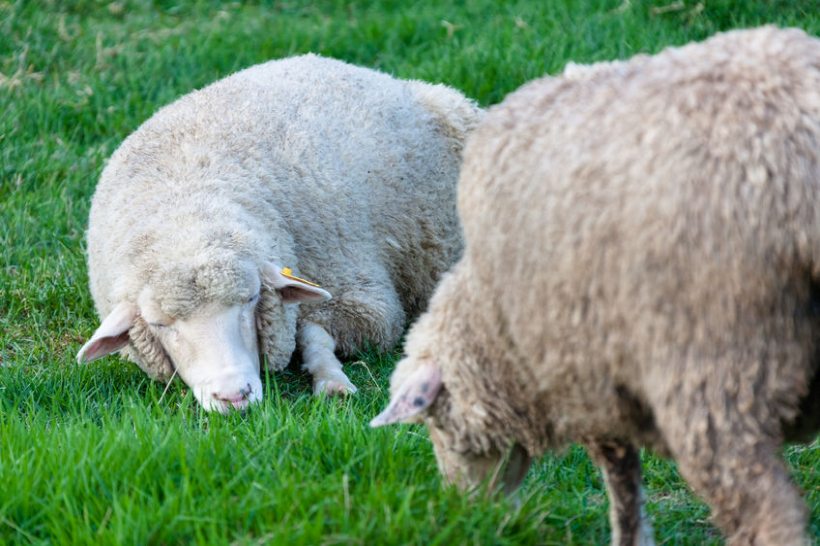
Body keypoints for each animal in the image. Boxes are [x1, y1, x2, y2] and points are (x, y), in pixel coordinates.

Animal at [77, 53, 481, 413]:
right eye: (160, 324)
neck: (186, 205)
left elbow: (314, 330)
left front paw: (331, 380)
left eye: (251, 299)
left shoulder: (361, 291)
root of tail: (382, 76)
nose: (234, 396)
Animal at [372, 26, 820, 546]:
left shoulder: (586, 377)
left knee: (767, 511)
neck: (493, 318)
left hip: (717, 368)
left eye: (437, 425)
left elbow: (622, 490)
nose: (466, 512)